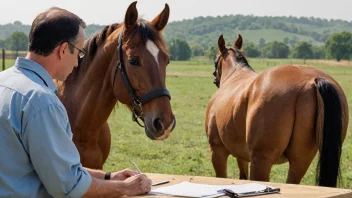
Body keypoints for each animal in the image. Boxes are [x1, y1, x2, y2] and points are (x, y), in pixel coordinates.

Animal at [205, 34, 348, 187]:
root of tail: (312, 81)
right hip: (300, 161)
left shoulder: (217, 150)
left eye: (215, 60)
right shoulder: (241, 154)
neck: (235, 75)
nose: (214, 79)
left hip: (261, 160)